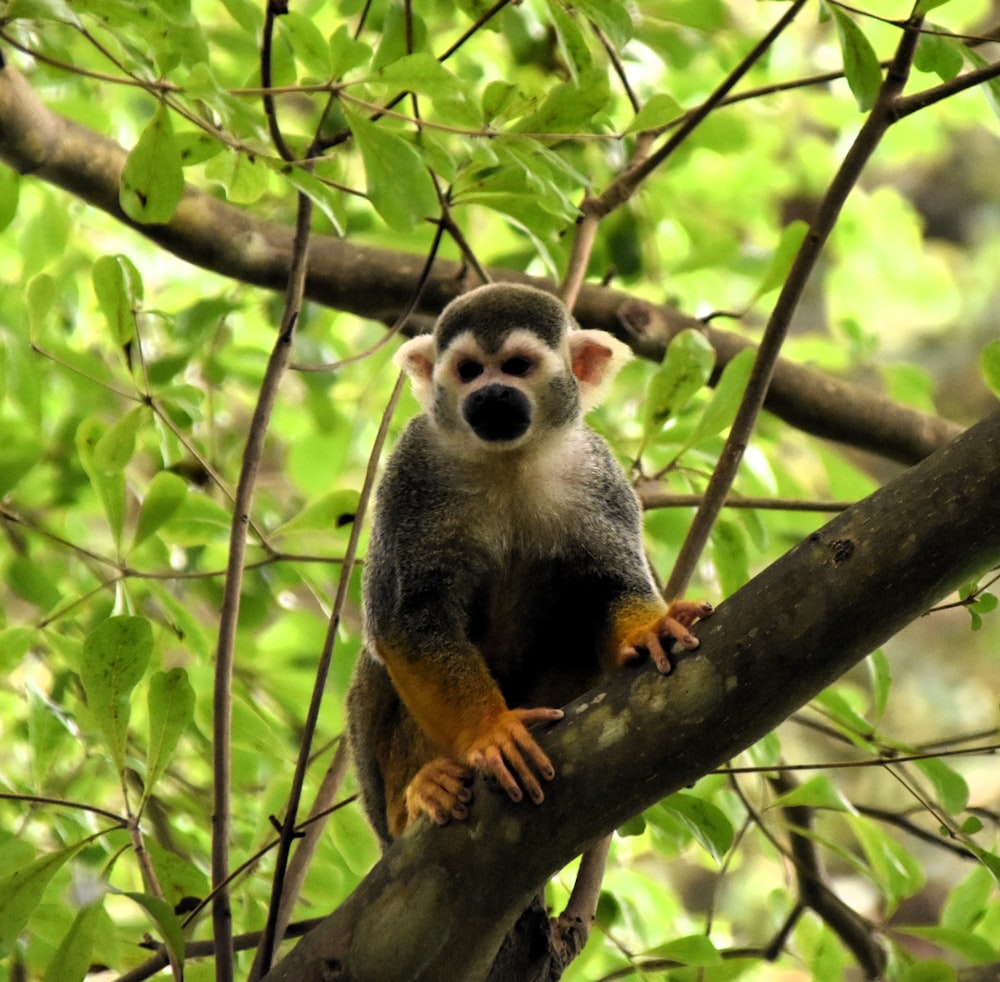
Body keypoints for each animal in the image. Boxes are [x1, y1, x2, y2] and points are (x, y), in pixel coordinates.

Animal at [348, 282, 716, 844]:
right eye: (469, 370)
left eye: (517, 366)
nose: (492, 395)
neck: (509, 458)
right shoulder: (413, 469)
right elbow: (407, 617)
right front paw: (490, 731)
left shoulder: (597, 474)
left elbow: (611, 586)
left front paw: (648, 630)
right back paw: (417, 797)